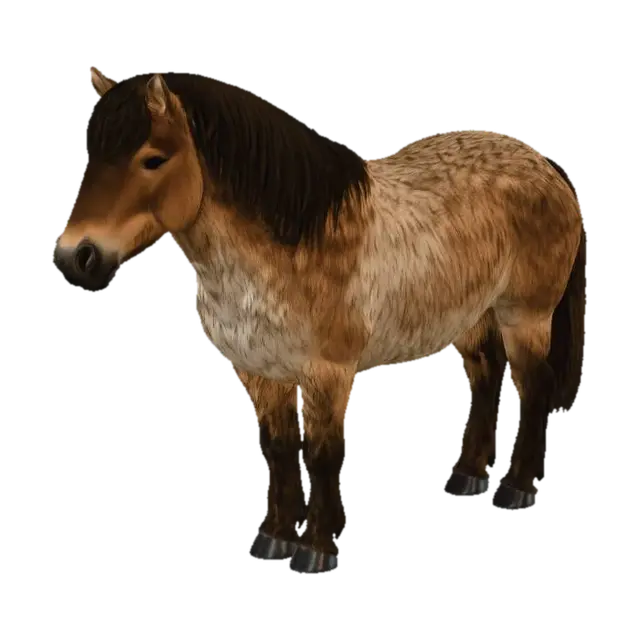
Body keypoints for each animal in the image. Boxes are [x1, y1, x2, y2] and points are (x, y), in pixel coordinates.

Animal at [53, 67, 587, 575]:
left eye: (154, 159)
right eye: (92, 154)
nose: (76, 256)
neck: (293, 246)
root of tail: (545, 168)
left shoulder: (327, 372)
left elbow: (324, 454)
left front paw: (316, 549)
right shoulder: (259, 372)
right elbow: (279, 449)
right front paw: (274, 538)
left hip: (524, 316)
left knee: (533, 386)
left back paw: (516, 489)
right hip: (473, 316)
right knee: (486, 378)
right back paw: (467, 476)